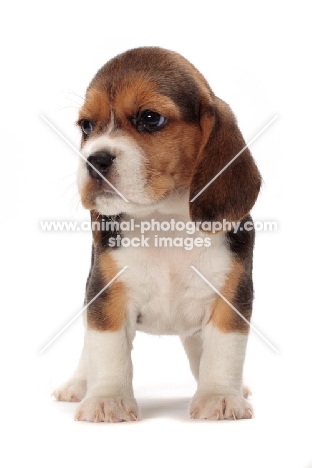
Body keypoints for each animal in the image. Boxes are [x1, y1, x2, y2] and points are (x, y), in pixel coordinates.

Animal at [53, 45, 260, 422]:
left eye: (150, 119)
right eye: (86, 125)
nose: (94, 160)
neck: (164, 219)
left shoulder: (231, 297)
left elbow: (223, 351)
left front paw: (221, 396)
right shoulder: (106, 295)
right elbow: (107, 351)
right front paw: (107, 399)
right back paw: (78, 384)